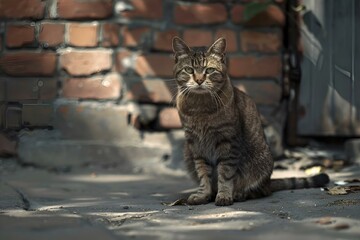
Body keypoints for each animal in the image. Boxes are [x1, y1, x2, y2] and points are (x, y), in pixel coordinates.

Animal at [172, 37, 330, 206]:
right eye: (189, 70)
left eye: (209, 70)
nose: (199, 80)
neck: (200, 107)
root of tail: (269, 181)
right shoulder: (196, 145)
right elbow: (203, 173)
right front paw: (203, 194)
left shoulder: (228, 141)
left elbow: (225, 173)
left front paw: (224, 195)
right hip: (187, 152)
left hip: (261, 164)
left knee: (261, 190)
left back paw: (240, 193)